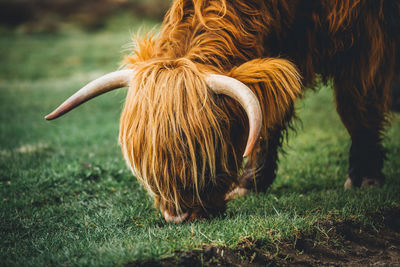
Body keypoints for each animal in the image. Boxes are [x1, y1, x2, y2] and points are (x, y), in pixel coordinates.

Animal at [46, 0, 400, 224]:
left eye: (203, 151)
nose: (178, 216)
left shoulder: (366, 38)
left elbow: (358, 105)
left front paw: (366, 178)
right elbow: (267, 117)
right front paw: (250, 183)